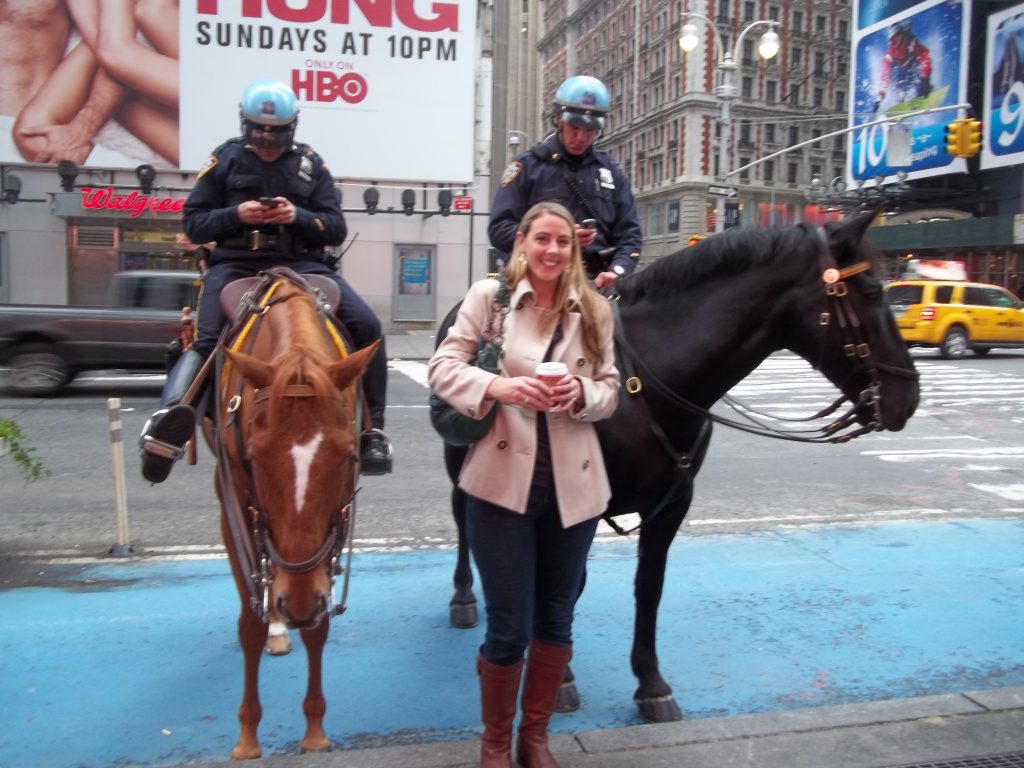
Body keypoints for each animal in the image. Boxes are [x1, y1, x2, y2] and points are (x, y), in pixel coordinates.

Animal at [207, 268, 380, 761]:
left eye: (347, 456)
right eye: (256, 457)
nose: (298, 605)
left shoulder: (339, 517)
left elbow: (318, 628)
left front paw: (315, 729)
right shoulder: (233, 505)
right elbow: (249, 622)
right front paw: (247, 736)